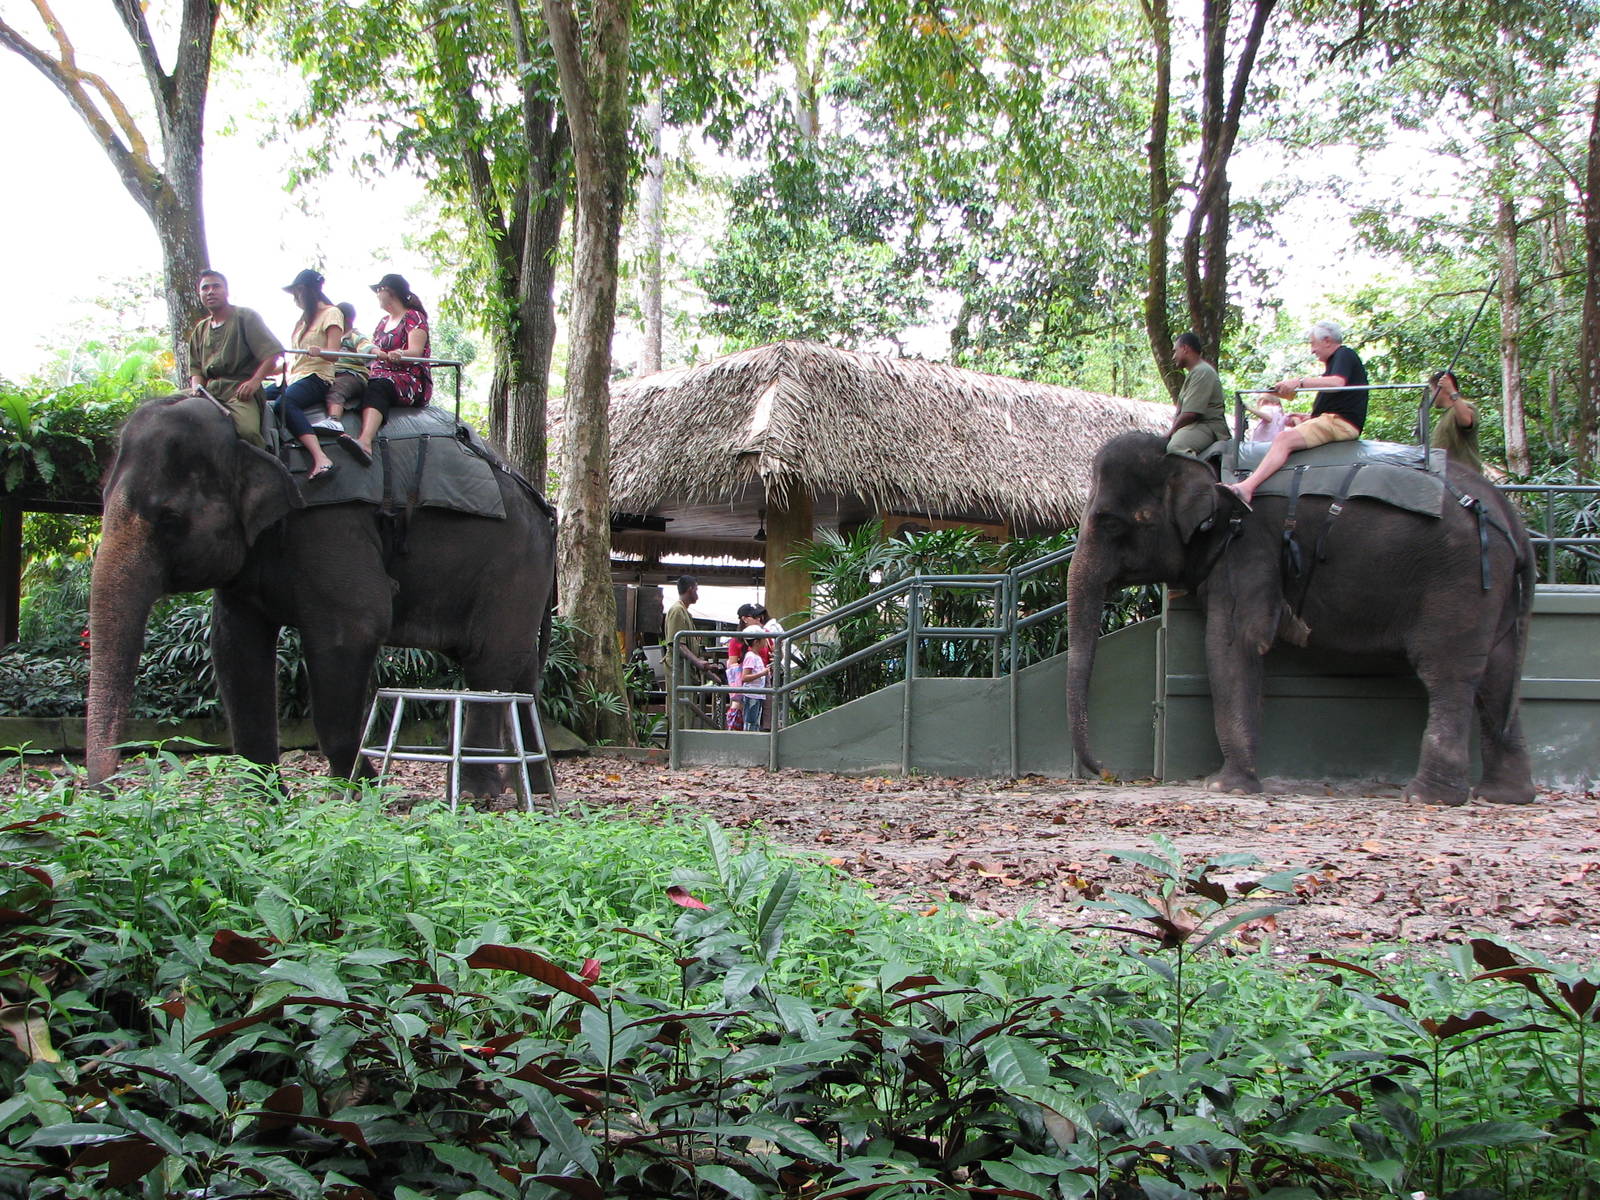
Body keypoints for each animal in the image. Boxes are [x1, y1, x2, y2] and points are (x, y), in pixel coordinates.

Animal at [85, 393, 557, 792]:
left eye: (169, 520)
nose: (105, 794)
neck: (258, 433)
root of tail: (542, 505)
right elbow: (234, 647)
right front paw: (265, 800)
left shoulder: (328, 524)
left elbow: (353, 629)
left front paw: (359, 791)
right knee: (519, 673)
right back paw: (531, 790)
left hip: (514, 562)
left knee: (489, 663)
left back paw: (478, 793)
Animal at [1065, 431, 1536, 806]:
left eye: (1109, 523)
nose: (1107, 771)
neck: (1193, 457)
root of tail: (1509, 515)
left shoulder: (1249, 544)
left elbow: (1235, 641)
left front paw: (1224, 787)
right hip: (1488, 590)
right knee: (1498, 671)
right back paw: (1504, 796)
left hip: (1458, 577)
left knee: (1447, 671)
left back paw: (1429, 797)